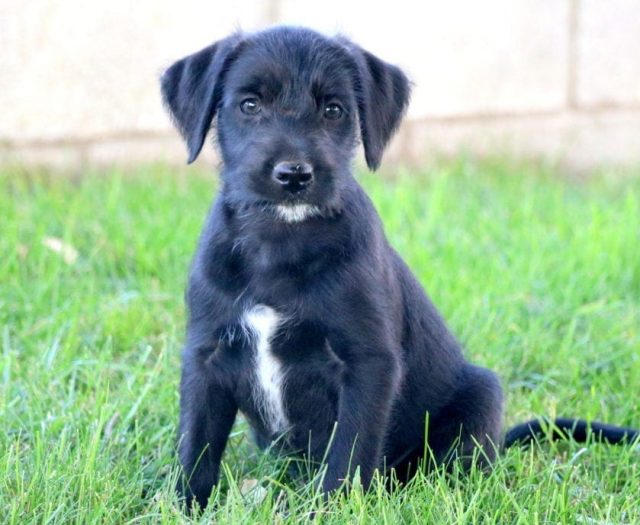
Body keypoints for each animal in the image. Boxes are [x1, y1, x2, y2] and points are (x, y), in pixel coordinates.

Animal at [161, 25, 640, 508]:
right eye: (249, 105)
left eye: (334, 110)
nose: (294, 175)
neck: (280, 241)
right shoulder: (206, 356)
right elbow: (197, 444)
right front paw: (185, 505)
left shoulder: (368, 363)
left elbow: (350, 451)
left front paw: (334, 509)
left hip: (480, 395)